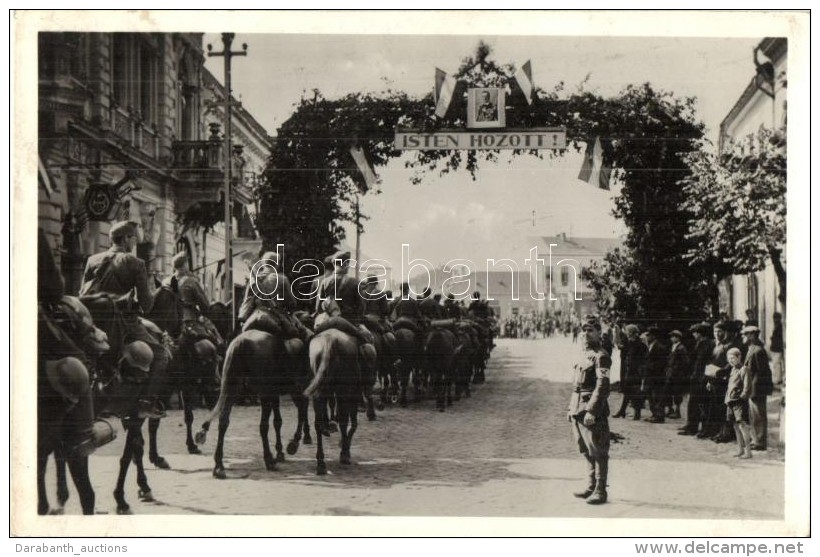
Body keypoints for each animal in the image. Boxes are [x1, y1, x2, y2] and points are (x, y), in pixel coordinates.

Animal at [194, 330, 312, 478]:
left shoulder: (275, 394)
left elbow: (278, 421)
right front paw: (291, 445)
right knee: (265, 425)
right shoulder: (286, 390)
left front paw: (281, 451)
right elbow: (292, 414)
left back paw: (219, 466)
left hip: (234, 389)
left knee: (223, 421)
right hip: (268, 393)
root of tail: (241, 342)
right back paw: (270, 459)